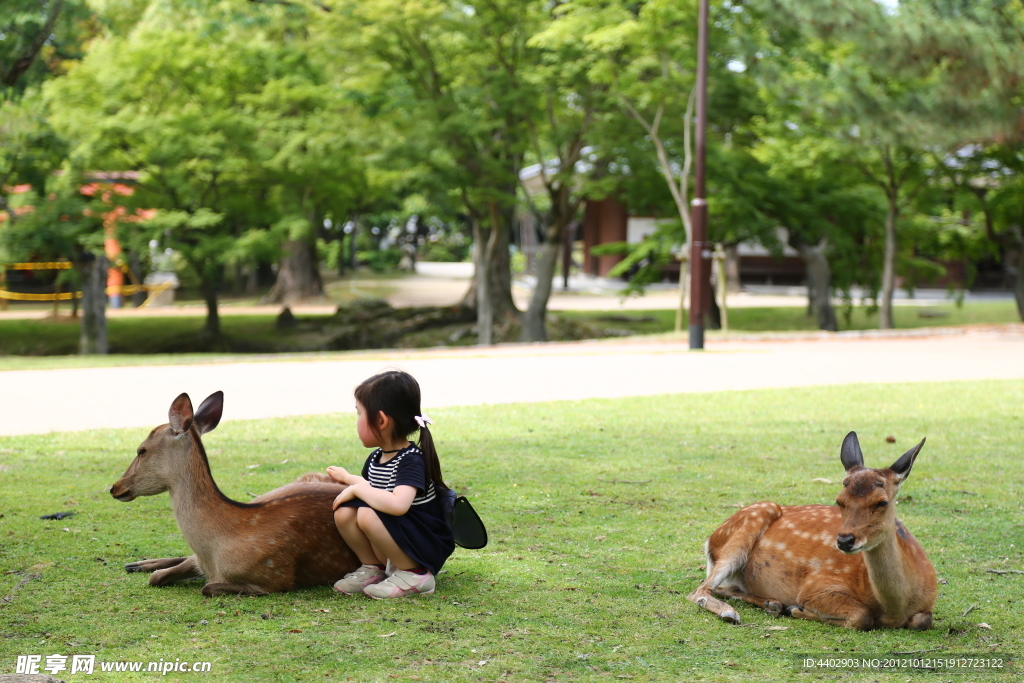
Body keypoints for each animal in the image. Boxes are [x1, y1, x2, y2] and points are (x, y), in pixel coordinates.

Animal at [111, 393, 360, 593]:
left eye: (141, 450)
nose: (115, 487)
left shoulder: (276, 578)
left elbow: (207, 587)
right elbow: (158, 577)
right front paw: (146, 567)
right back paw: (136, 564)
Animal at [688, 432, 937, 630]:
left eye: (882, 502)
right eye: (839, 500)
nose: (844, 541)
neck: (894, 609)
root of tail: (710, 540)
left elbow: (923, 620)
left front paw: (789, 608)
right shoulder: (816, 585)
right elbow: (862, 616)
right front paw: (798, 610)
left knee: (722, 587)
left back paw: (773, 604)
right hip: (747, 527)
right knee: (700, 590)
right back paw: (732, 612)